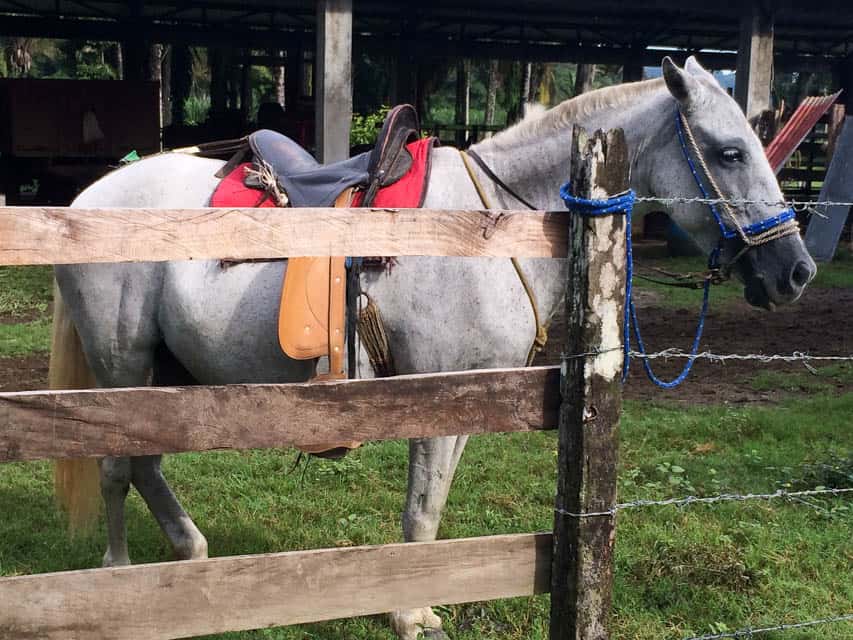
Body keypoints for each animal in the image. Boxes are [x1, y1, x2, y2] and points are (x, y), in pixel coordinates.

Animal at [51, 57, 812, 636]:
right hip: (120, 363)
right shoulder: (436, 399)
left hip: (158, 370)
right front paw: (409, 613)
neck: (494, 225)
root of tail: (84, 201)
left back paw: (191, 552)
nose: (795, 271)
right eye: (729, 152)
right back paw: (118, 580)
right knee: (116, 468)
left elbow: (432, 509)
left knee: (144, 462)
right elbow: (421, 513)